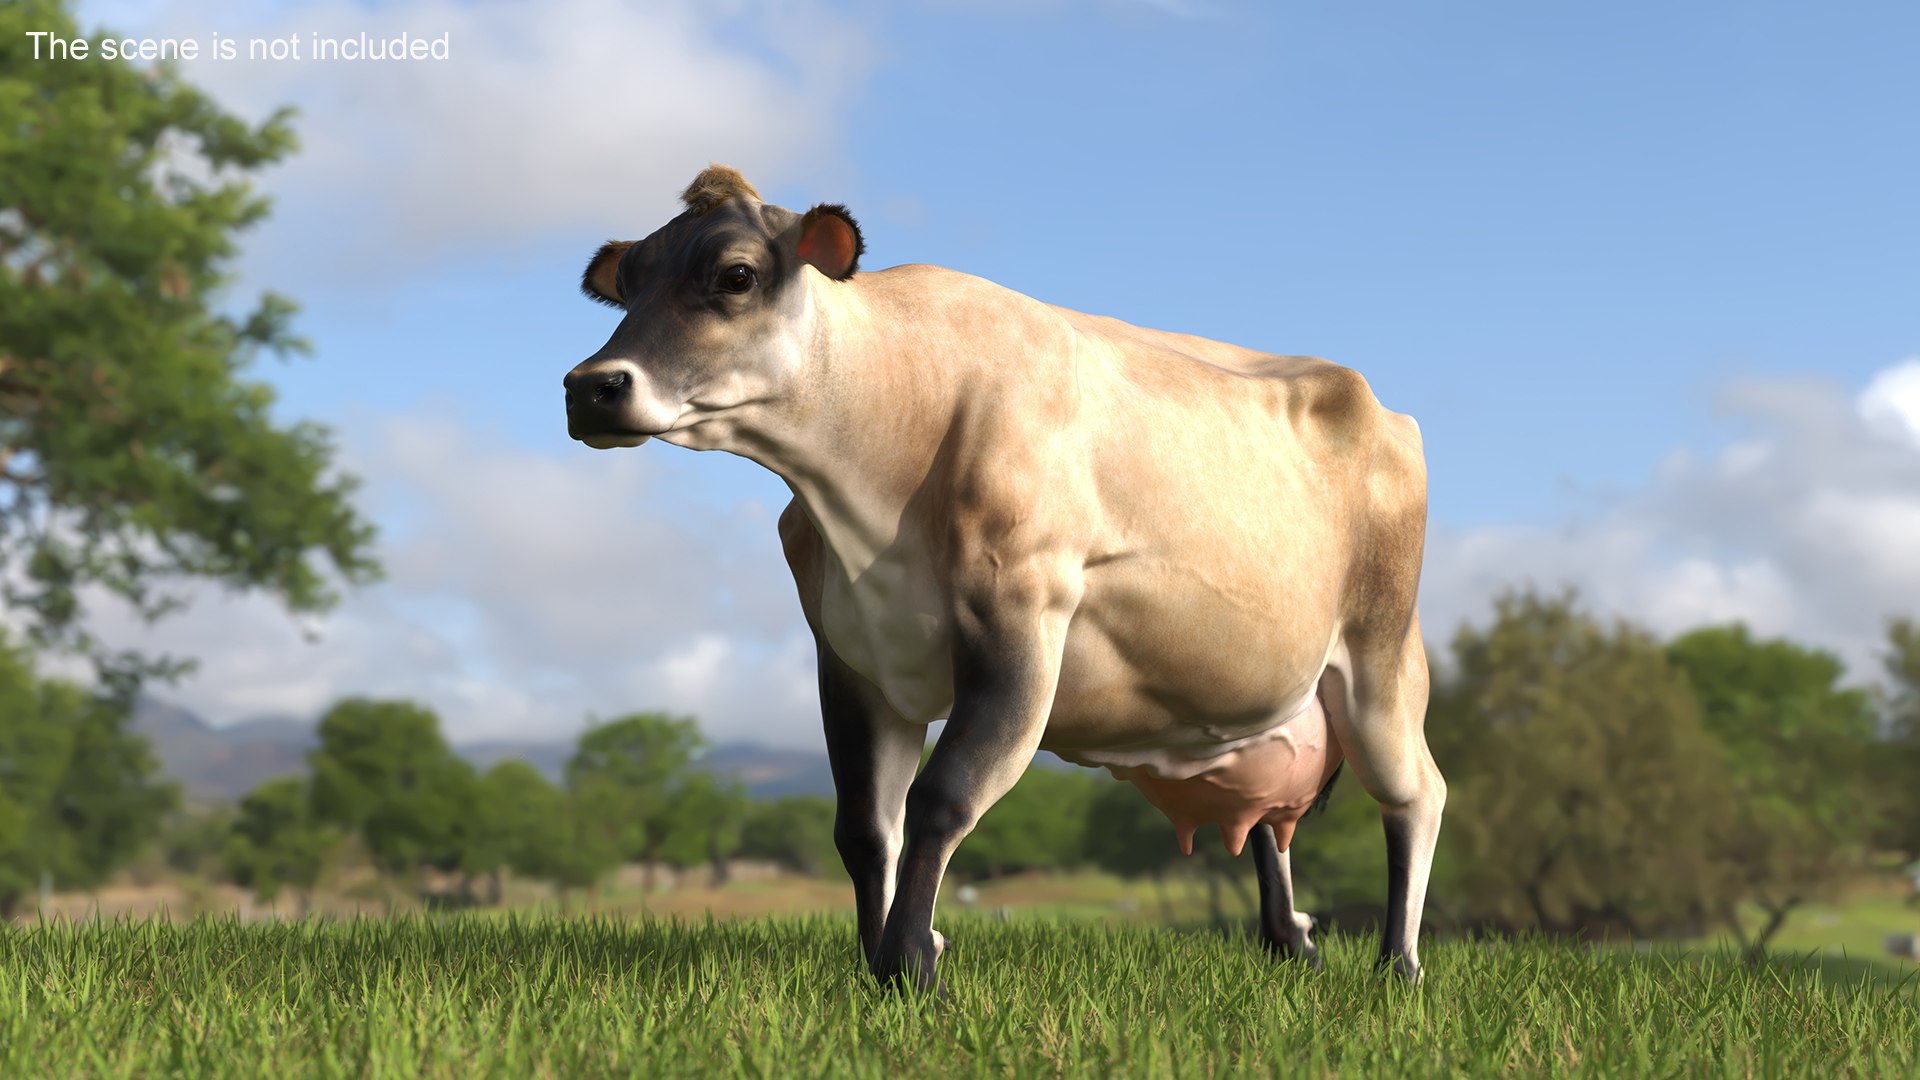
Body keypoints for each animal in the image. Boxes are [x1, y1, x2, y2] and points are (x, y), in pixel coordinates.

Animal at [564, 165, 1444, 993]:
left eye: (736, 274)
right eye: (629, 283)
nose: (590, 387)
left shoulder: (1019, 618)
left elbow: (941, 798)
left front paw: (910, 966)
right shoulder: (850, 658)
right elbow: (865, 828)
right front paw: (881, 958)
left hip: (1382, 654)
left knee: (1417, 795)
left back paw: (1397, 967)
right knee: (1269, 822)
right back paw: (1292, 943)